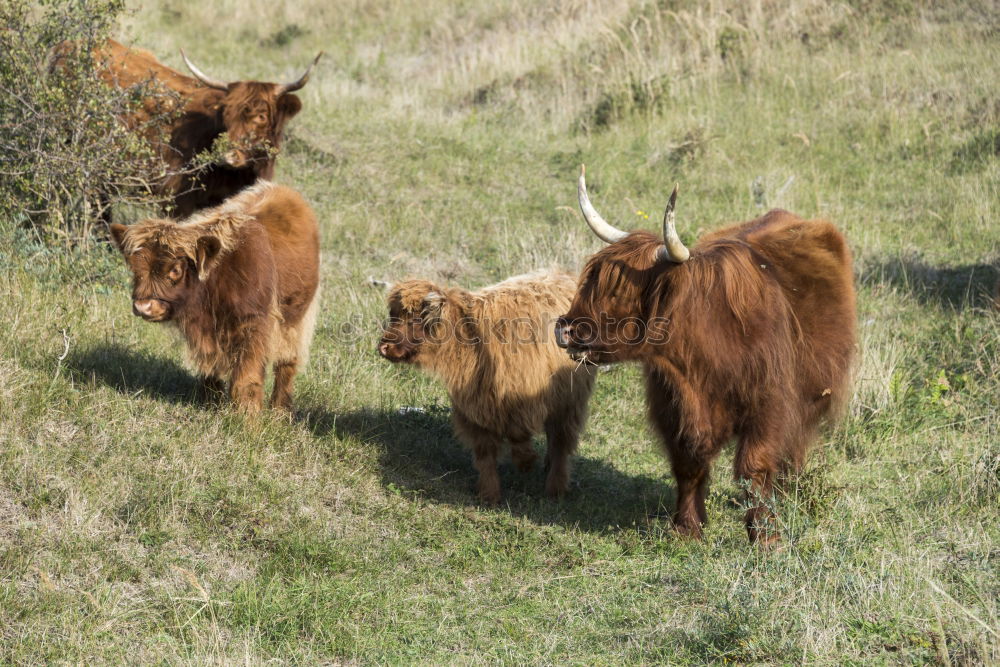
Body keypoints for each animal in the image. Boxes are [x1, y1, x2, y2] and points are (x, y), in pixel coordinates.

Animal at [109, 183, 320, 412]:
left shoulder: (254, 326)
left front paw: (247, 414)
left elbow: (247, 375)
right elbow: (210, 368)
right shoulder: (204, 334)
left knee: (287, 362)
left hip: (296, 318)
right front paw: (211, 406)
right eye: (135, 268)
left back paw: (280, 410)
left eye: (175, 270)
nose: (143, 306)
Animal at [378, 274, 596, 504]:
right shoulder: (474, 410)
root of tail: (560, 275)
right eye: (393, 315)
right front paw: (489, 495)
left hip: (570, 402)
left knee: (561, 442)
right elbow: (485, 454)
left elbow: (518, 434)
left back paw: (556, 489)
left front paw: (526, 462)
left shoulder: (526, 400)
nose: (383, 347)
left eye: (415, 319)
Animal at [560, 166, 856, 544]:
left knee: (794, 447)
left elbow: (754, 468)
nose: (565, 328)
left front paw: (766, 538)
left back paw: (789, 492)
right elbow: (688, 464)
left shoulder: (769, 406)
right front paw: (686, 528)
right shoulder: (672, 406)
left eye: (620, 292)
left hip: (811, 396)